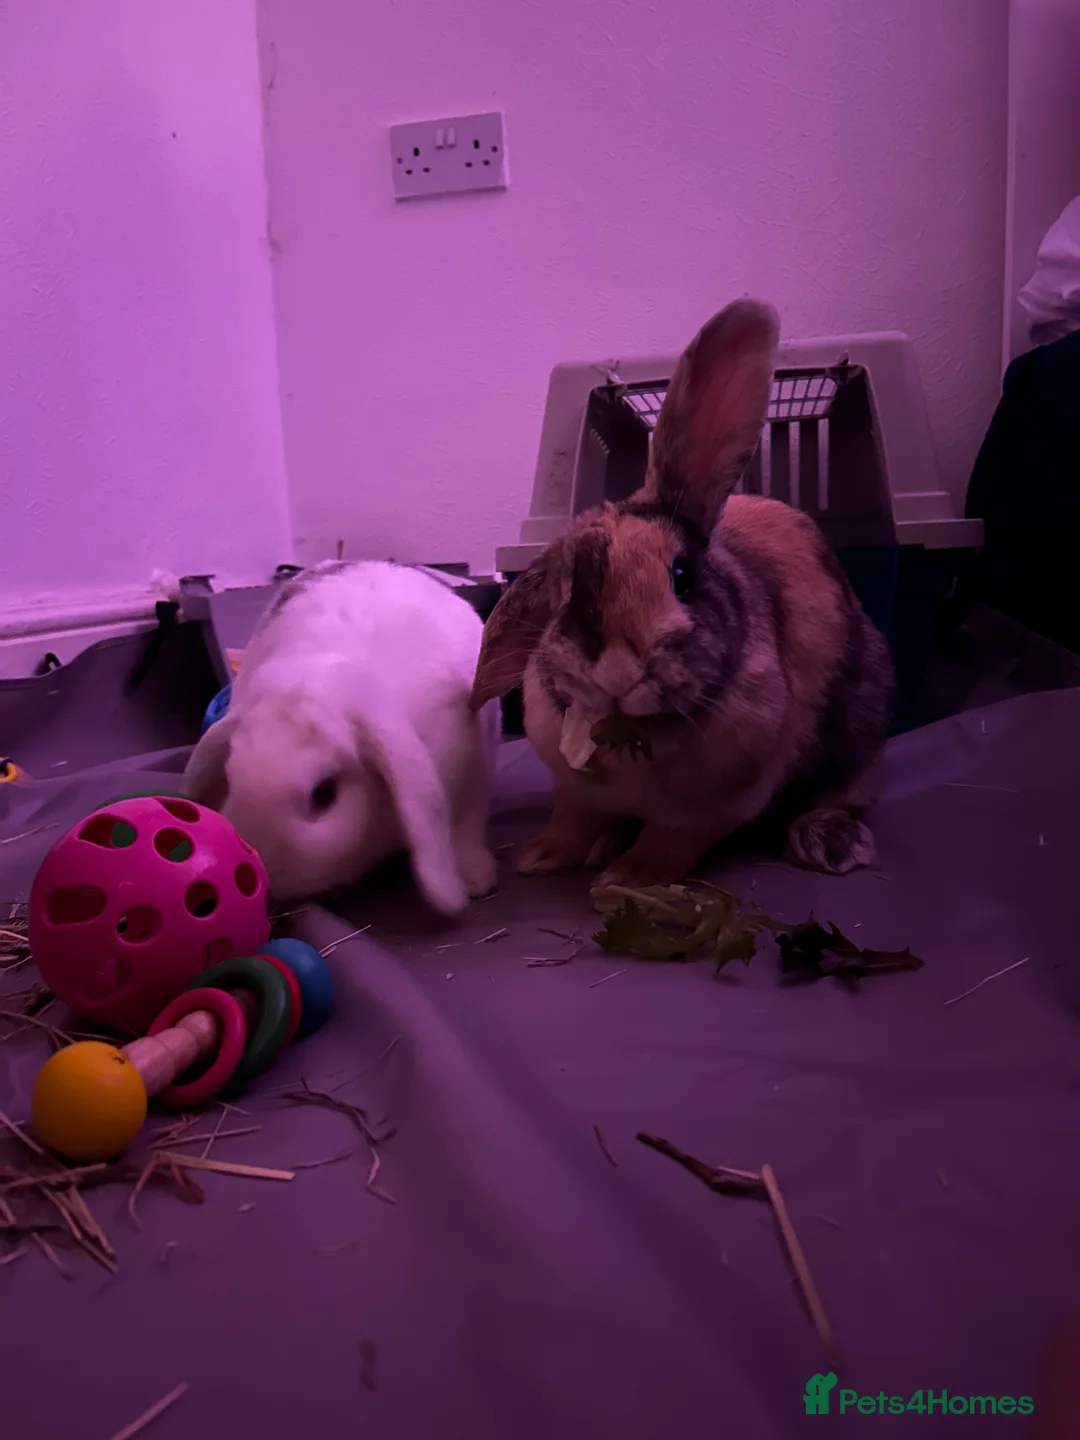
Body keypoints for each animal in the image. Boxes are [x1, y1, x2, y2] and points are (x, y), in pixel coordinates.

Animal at [184, 560, 500, 914]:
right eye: (229, 777)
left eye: (324, 793)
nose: (261, 865)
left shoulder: (472, 773)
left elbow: (465, 825)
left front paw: (475, 881)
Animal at [468, 298, 895, 891]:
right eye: (566, 584)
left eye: (683, 576)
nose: (618, 673)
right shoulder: (574, 790)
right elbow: (571, 820)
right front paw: (542, 856)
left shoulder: (715, 803)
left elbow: (672, 842)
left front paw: (627, 877)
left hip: (860, 742)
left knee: (846, 797)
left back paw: (830, 843)